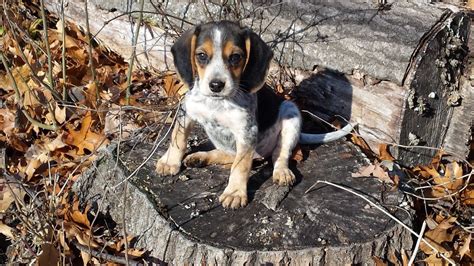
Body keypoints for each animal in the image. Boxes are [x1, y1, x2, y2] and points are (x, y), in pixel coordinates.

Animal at [156, 20, 352, 209]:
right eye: (202, 55)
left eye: (235, 57)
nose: (216, 85)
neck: (217, 102)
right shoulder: (186, 112)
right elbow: (178, 139)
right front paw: (170, 162)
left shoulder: (246, 132)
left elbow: (241, 166)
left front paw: (235, 192)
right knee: (229, 154)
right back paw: (200, 157)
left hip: (291, 113)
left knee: (279, 155)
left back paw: (282, 172)